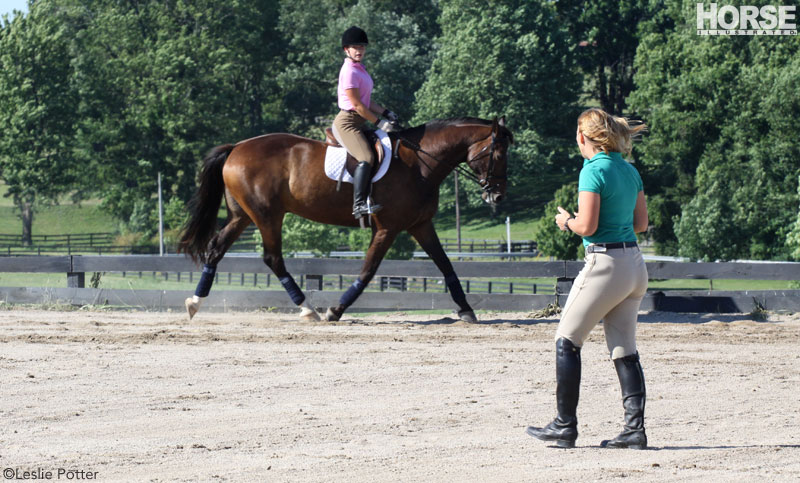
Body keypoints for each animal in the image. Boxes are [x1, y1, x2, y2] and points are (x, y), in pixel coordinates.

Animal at [179, 115, 516, 324]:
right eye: (499, 155)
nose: (499, 197)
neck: (419, 163)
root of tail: (236, 147)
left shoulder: (420, 225)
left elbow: (446, 266)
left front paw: (466, 310)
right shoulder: (388, 228)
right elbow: (368, 271)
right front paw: (336, 310)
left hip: (242, 216)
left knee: (216, 249)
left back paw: (195, 302)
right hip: (267, 215)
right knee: (272, 258)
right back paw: (308, 309)